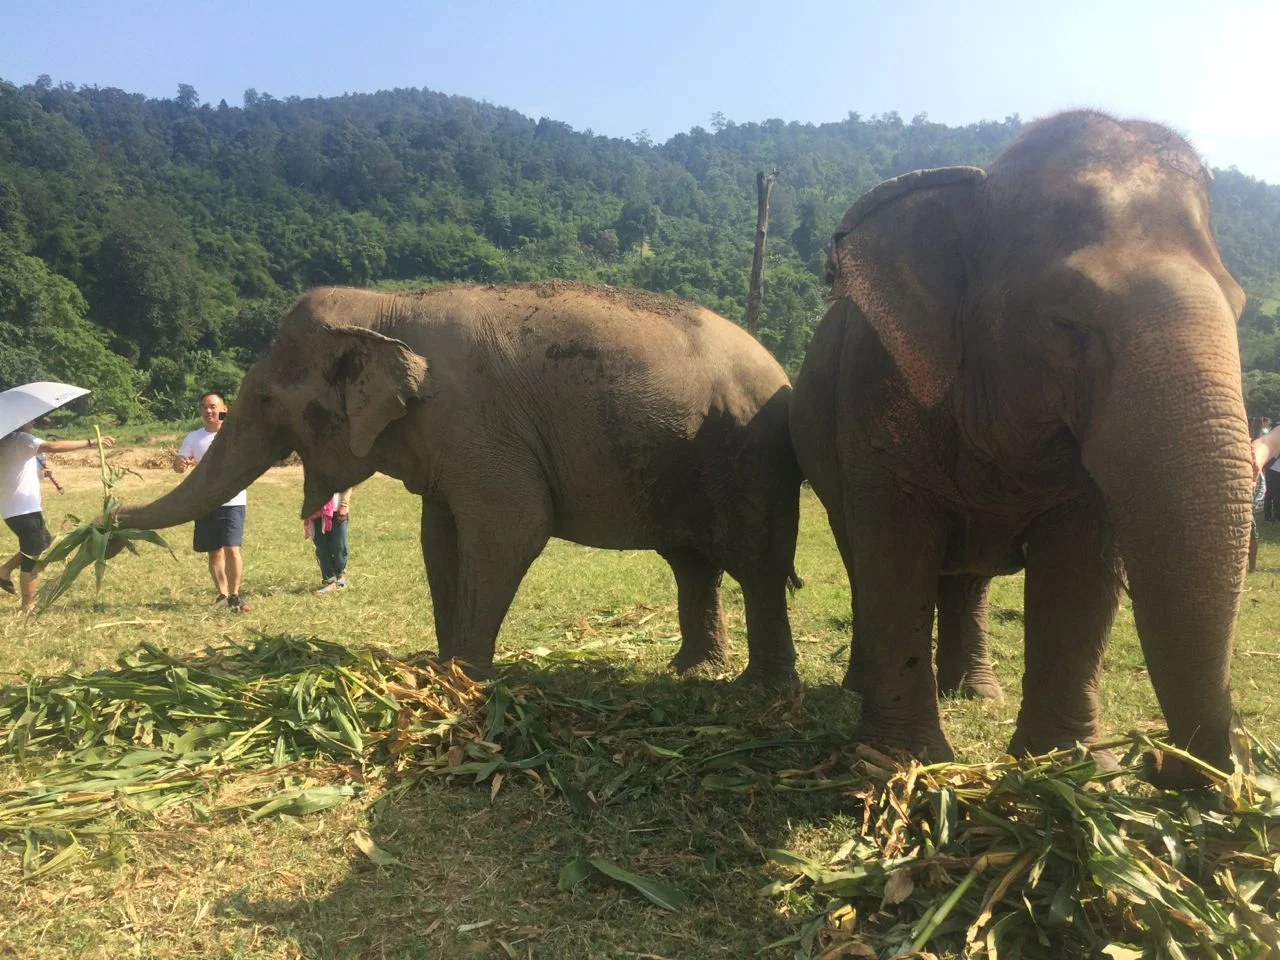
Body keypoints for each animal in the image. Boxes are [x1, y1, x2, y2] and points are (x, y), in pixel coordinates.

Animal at [116, 281, 802, 683]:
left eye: (263, 399)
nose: (108, 523)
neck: (388, 305)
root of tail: (780, 370)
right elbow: (438, 537)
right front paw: (440, 670)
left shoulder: (475, 422)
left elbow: (510, 530)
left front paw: (464, 681)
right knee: (691, 563)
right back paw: (691, 669)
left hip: (750, 458)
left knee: (756, 565)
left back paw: (760, 691)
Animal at [789, 111, 1251, 788]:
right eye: (1065, 324)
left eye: (1240, 308)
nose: (1163, 763)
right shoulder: (873, 388)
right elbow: (894, 551)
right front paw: (897, 765)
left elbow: (1081, 568)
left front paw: (1071, 769)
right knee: (862, 555)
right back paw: (862, 684)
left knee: (968, 579)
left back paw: (976, 692)